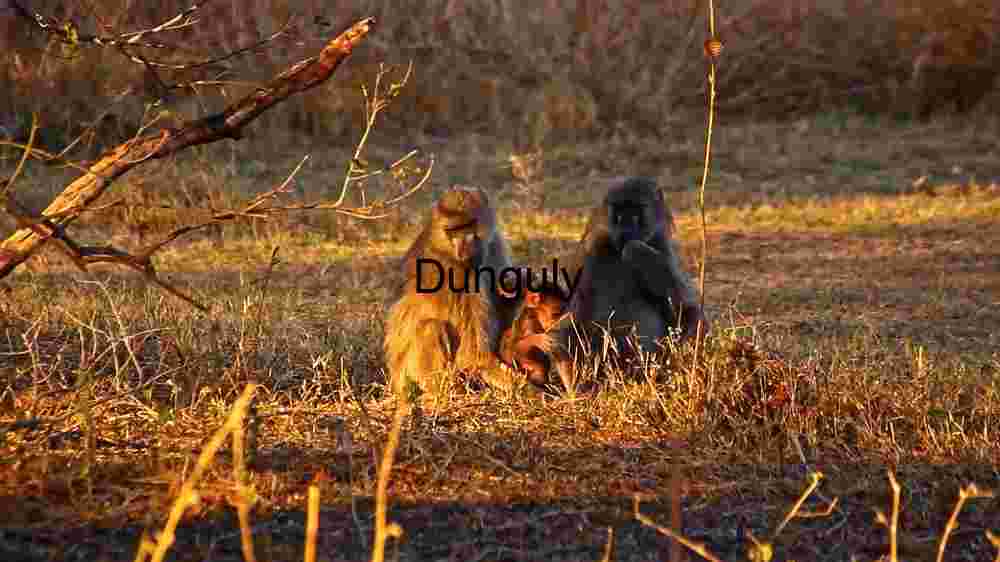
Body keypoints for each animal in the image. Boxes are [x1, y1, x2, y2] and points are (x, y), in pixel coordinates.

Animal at [383, 186, 522, 403]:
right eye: (453, 231)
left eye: (469, 225)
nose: (464, 249)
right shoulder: (457, 274)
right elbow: (473, 356)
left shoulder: (494, 244)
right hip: (407, 374)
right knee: (431, 327)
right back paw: (446, 393)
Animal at [559, 177, 708, 360]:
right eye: (619, 212)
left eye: (636, 212)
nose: (625, 231)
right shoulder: (591, 251)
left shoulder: (662, 247)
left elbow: (684, 306)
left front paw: (635, 251)